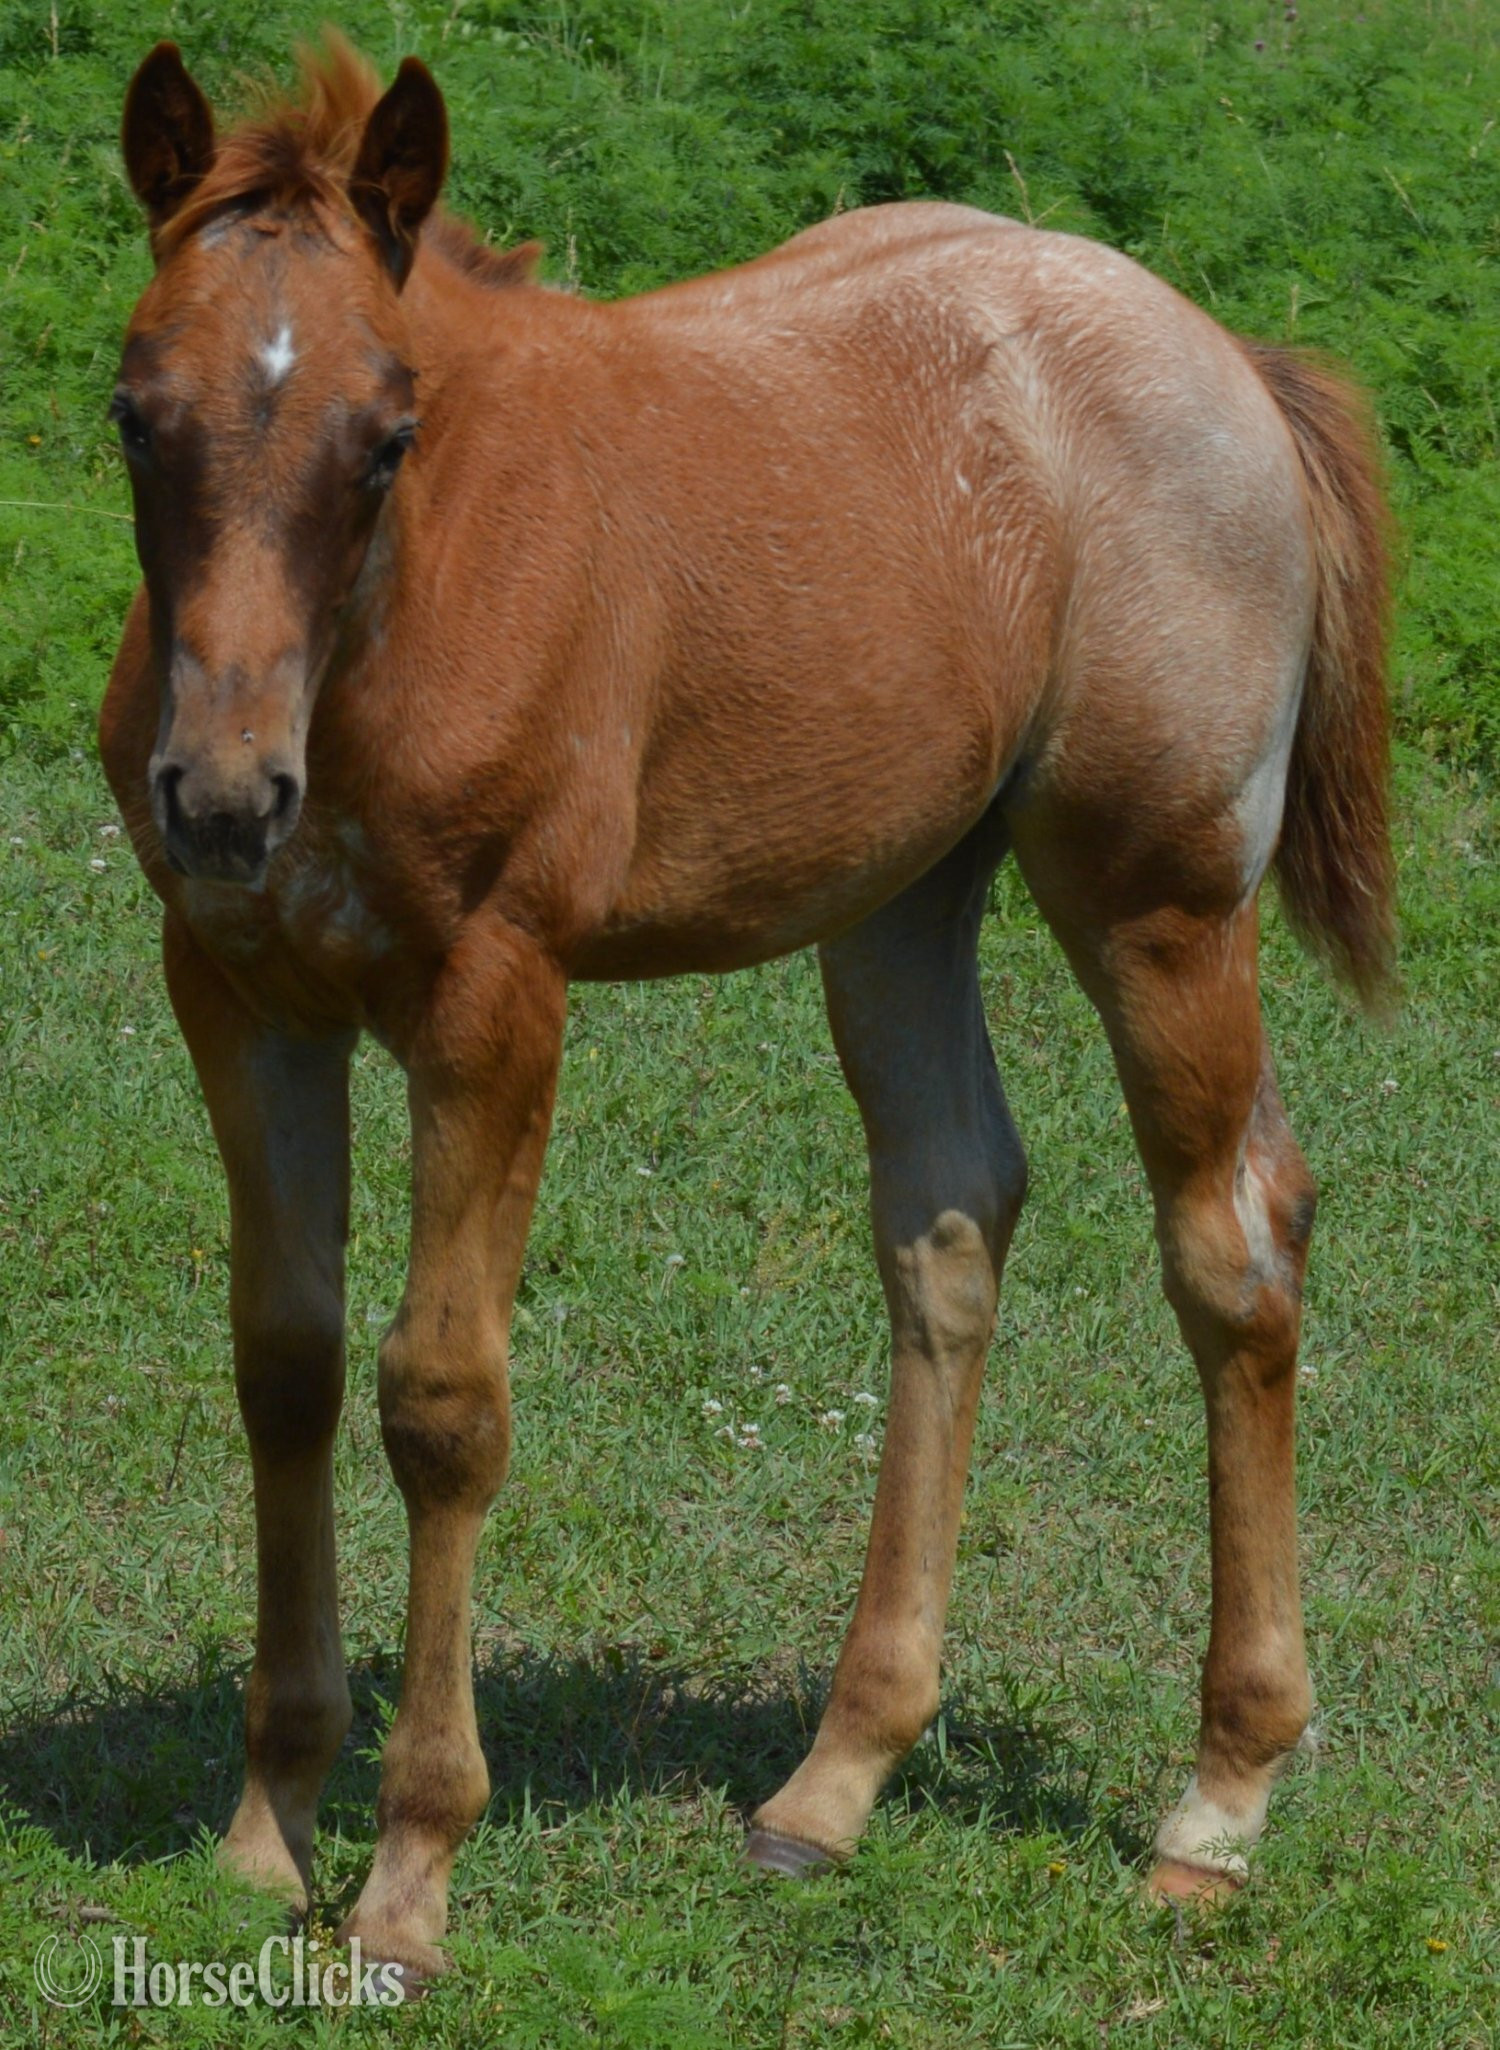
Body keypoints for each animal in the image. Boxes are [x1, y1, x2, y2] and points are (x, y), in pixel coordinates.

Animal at [99, 34, 1394, 1979]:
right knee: (951, 1217)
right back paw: (829, 1788)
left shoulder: (496, 997)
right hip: (903, 898)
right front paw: (267, 1832)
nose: (228, 797)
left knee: (1232, 1244)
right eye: (132, 415)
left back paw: (1216, 1806)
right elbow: (285, 1367)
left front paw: (410, 1876)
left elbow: (441, 1400)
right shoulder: (244, 990)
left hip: (1160, 900)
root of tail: (1221, 352)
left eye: (389, 436)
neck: (410, 603)